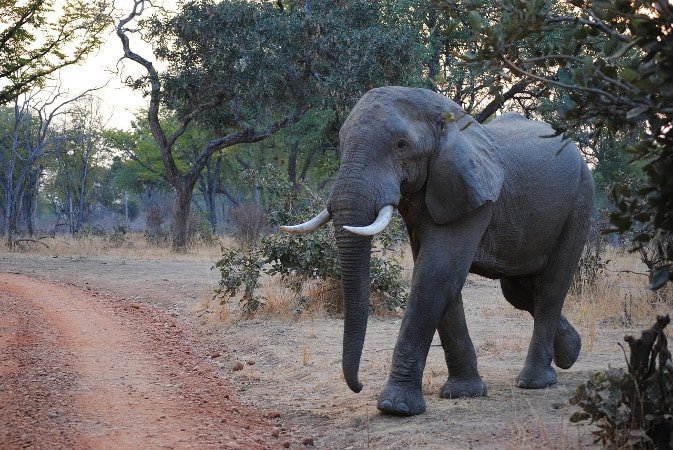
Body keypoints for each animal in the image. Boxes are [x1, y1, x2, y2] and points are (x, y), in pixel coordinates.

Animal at [281, 86, 594, 416]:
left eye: (401, 145)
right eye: (341, 143)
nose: (359, 386)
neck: (445, 118)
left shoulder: (474, 195)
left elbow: (435, 274)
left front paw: (396, 407)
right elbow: (441, 278)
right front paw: (464, 393)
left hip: (580, 201)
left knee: (551, 287)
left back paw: (536, 381)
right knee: (518, 291)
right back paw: (570, 352)